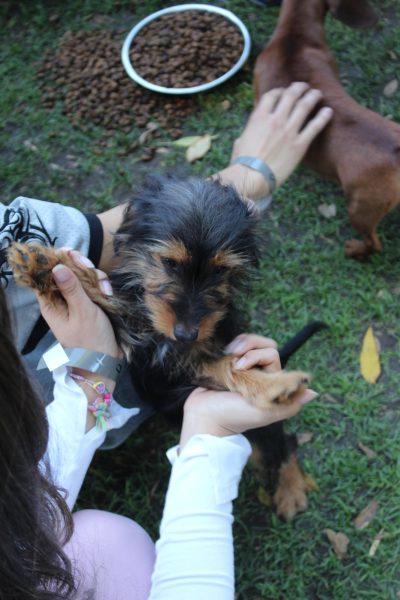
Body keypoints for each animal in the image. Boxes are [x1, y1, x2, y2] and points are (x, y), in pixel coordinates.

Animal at [7, 175, 318, 520]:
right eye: (169, 262)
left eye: (220, 270)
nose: (185, 334)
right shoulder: (134, 331)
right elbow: (102, 294)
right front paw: (42, 263)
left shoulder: (192, 359)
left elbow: (226, 365)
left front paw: (275, 384)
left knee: (280, 439)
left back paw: (291, 489)